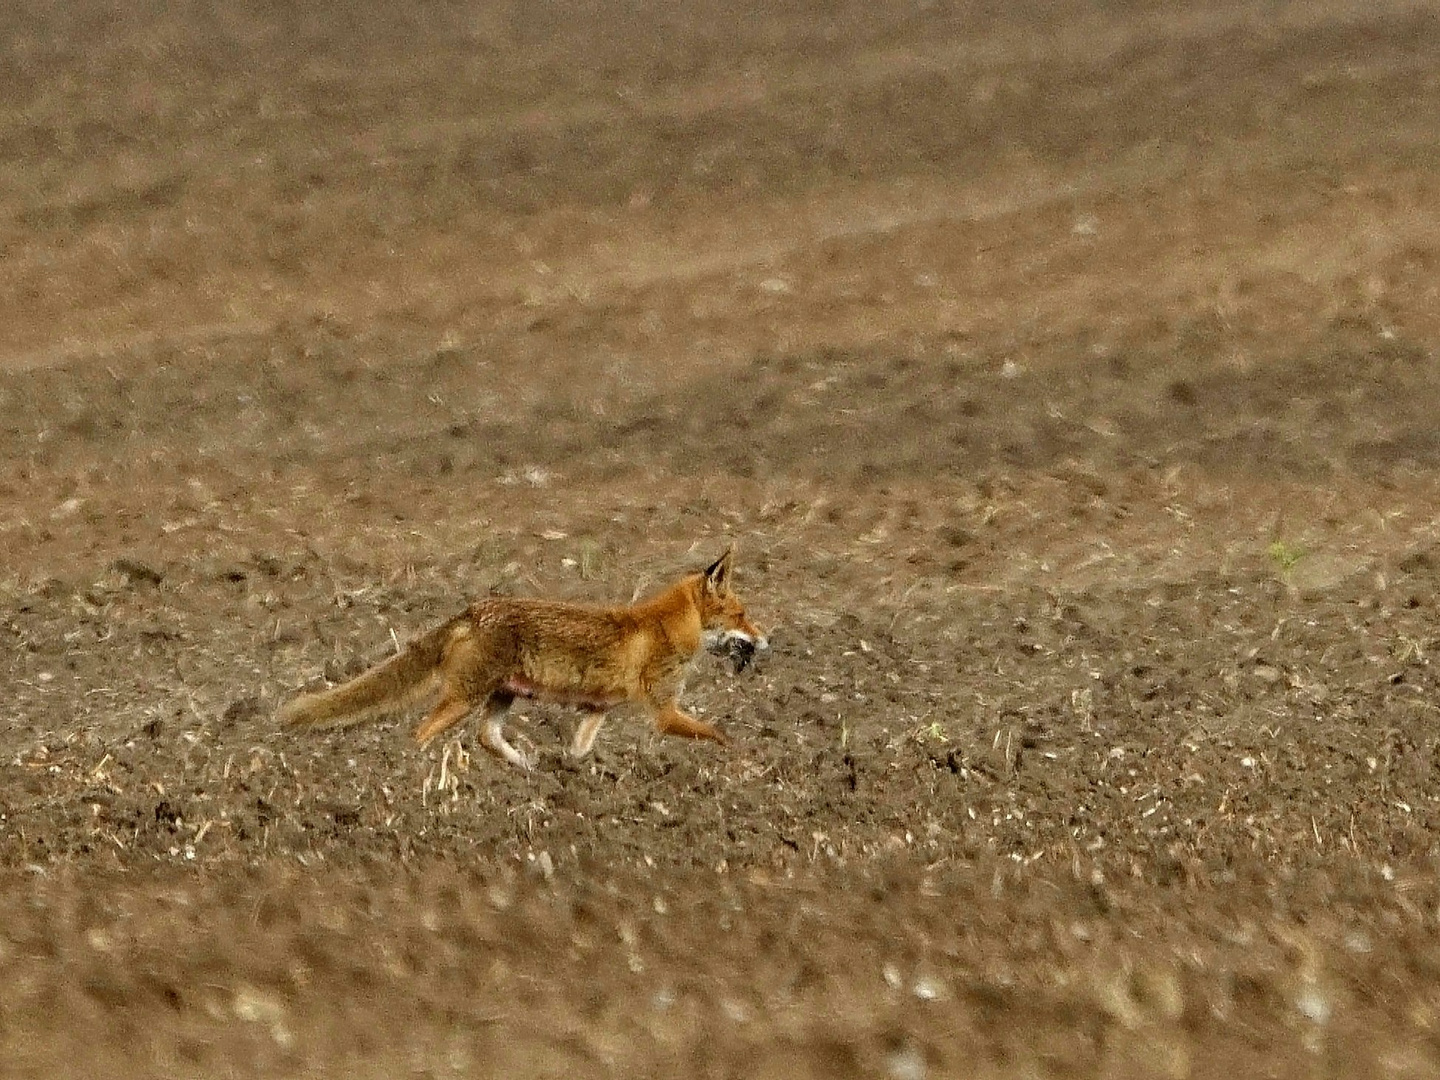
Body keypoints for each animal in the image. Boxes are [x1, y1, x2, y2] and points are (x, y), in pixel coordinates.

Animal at [272, 550, 766, 771]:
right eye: (742, 614)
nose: (766, 641)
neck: (669, 629)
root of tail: (474, 609)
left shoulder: (598, 708)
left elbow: (579, 748)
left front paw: (571, 772)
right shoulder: (664, 711)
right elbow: (718, 734)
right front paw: (747, 760)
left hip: (501, 696)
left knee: (487, 737)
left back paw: (526, 770)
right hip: (465, 697)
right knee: (421, 732)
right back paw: (415, 773)